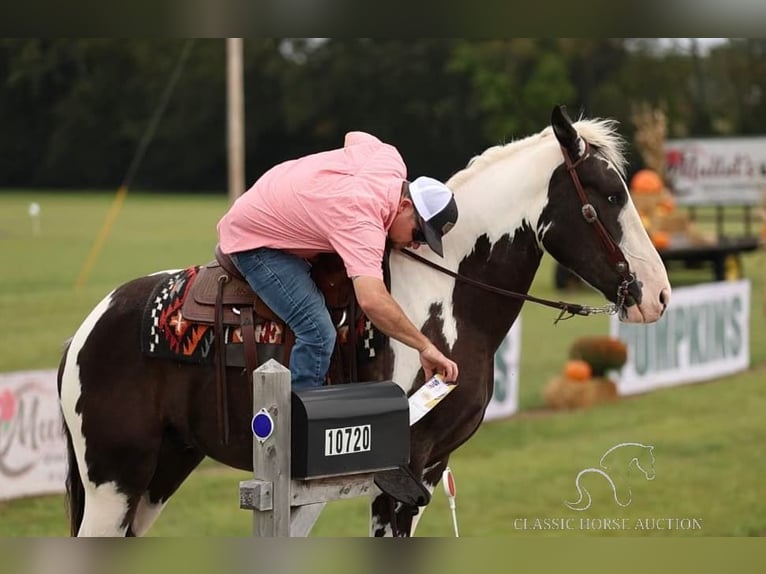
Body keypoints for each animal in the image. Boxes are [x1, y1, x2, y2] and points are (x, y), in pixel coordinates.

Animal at [60, 108, 672, 540]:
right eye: (609, 195)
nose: (660, 295)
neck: (446, 292)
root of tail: (84, 331)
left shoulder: (431, 471)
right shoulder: (400, 478)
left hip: (158, 477)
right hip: (114, 482)